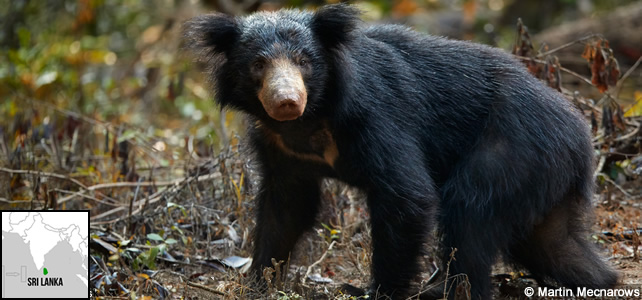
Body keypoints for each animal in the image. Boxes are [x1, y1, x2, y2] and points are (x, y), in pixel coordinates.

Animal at [184, 3, 616, 298]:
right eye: (259, 65)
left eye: (304, 62)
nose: (287, 101)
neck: (311, 120)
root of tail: (581, 135)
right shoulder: (281, 149)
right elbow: (286, 209)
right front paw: (258, 281)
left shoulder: (376, 118)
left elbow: (406, 196)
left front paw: (375, 292)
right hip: (538, 175)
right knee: (554, 242)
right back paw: (603, 280)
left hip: (508, 150)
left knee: (469, 215)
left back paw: (449, 291)